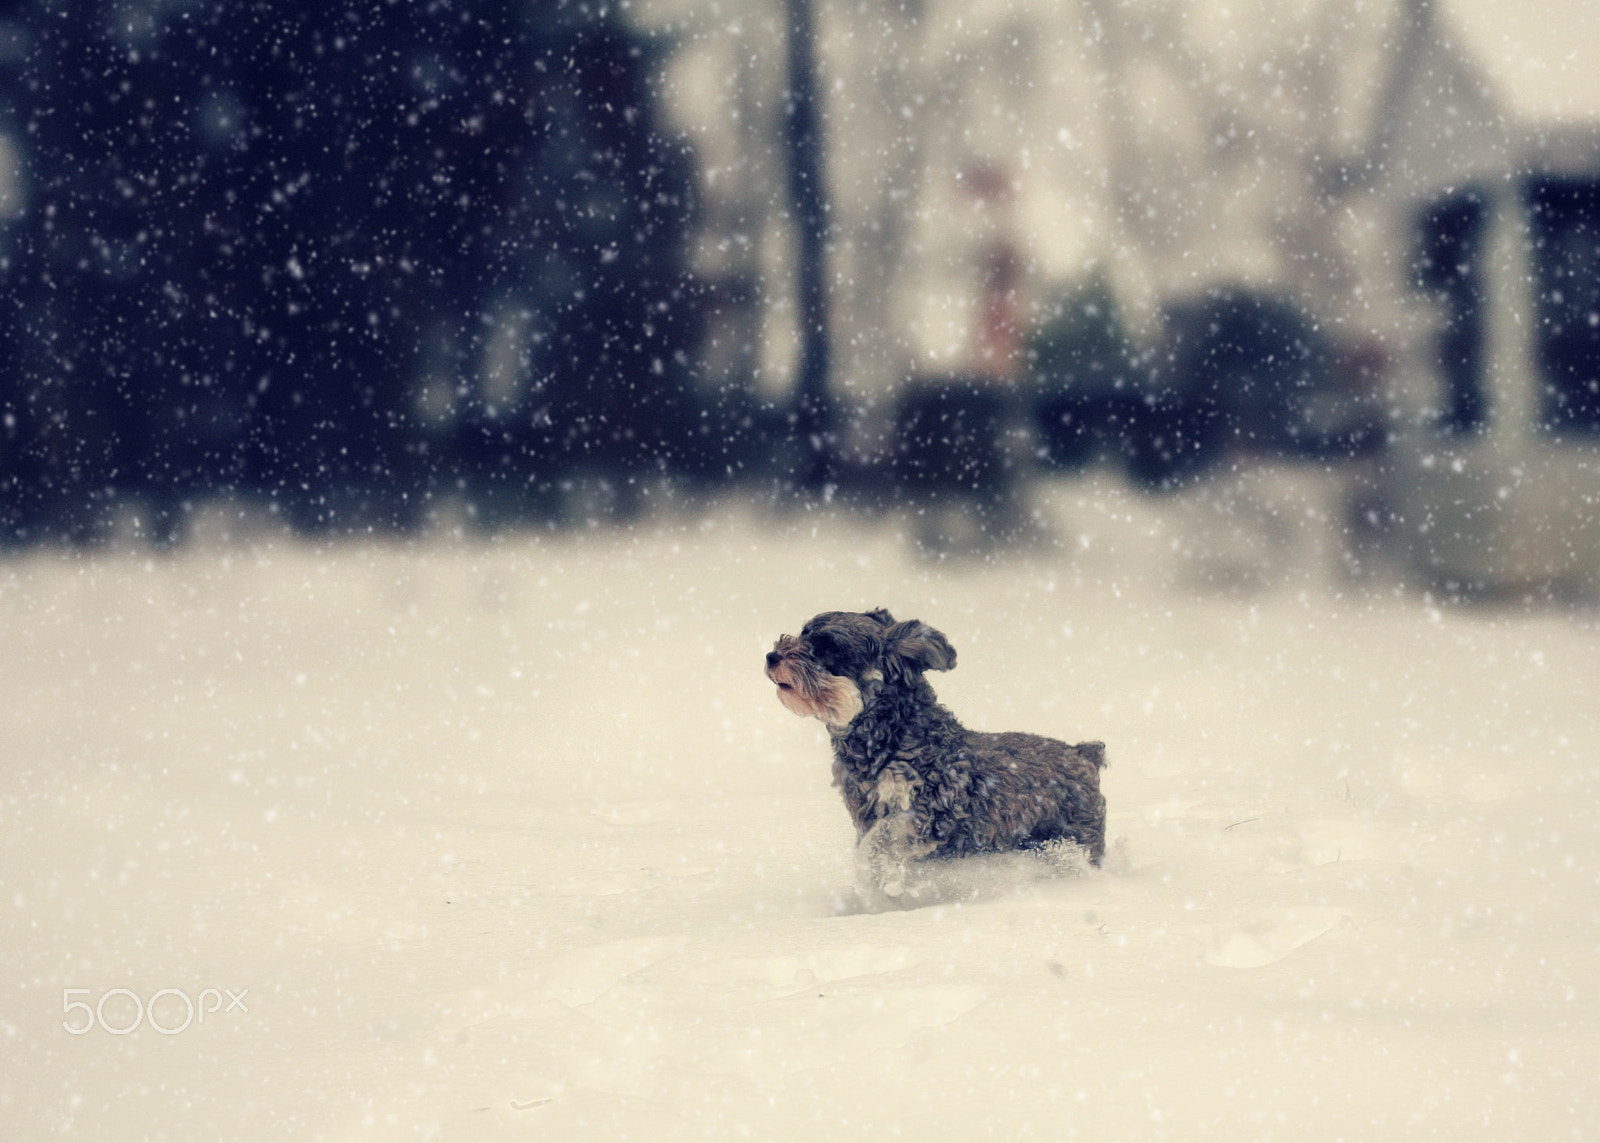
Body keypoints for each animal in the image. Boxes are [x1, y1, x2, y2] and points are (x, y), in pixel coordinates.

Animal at [768, 605, 1107, 890]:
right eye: (803, 632)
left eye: (828, 647)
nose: (772, 656)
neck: (888, 734)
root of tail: (1083, 755)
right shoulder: (865, 812)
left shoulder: (931, 813)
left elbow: (882, 843)